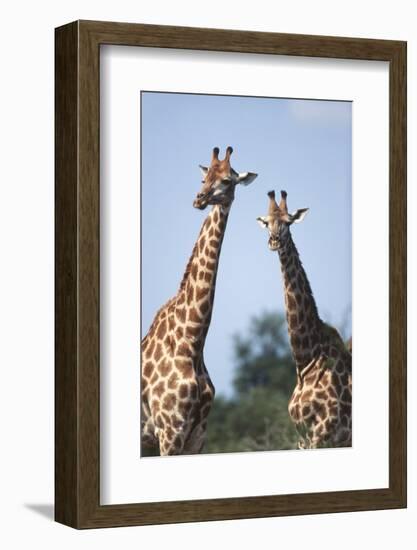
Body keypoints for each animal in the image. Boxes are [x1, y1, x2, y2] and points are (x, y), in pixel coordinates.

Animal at [141, 147, 256, 458]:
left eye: (227, 180)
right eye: (205, 177)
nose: (199, 199)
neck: (191, 341)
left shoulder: (196, 438)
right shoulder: (168, 432)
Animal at [256, 190, 352, 448]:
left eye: (288, 222)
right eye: (267, 223)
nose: (274, 241)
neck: (305, 359)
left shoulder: (324, 432)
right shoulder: (302, 437)